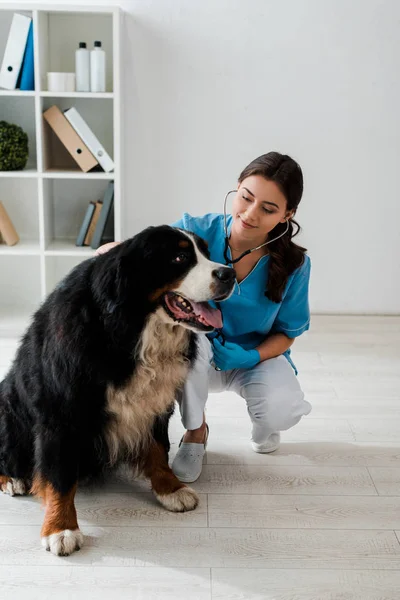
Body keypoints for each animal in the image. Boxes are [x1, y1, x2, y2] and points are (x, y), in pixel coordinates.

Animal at [0, 223, 234, 556]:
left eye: (207, 253)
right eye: (179, 258)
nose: (229, 274)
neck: (130, 329)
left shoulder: (155, 401)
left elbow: (158, 448)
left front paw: (171, 489)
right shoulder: (61, 410)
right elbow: (59, 474)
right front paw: (61, 527)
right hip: (8, 410)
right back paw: (12, 479)